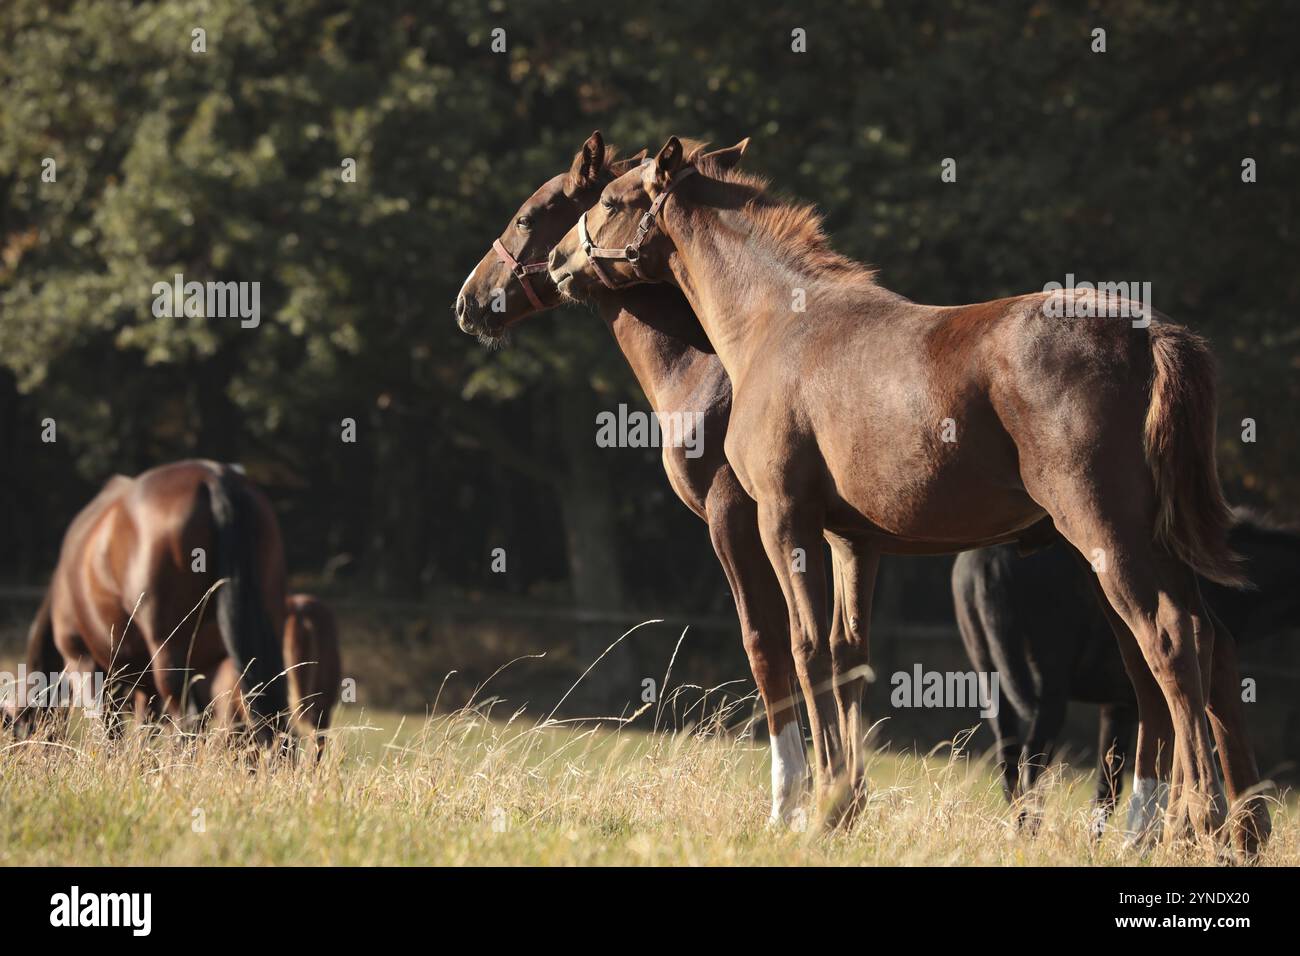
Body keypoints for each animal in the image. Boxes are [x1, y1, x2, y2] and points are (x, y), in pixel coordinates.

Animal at [4, 460, 289, 743]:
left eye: (19, 731)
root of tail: (214, 476)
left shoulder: (82, 659)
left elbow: (108, 730)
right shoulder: (147, 686)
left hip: (167, 650)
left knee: (187, 720)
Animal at [956, 512, 1300, 832]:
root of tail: (987, 559)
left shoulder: (1118, 704)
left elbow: (1107, 789)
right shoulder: (1144, 702)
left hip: (994, 683)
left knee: (1010, 769)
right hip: (1049, 693)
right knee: (1031, 769)